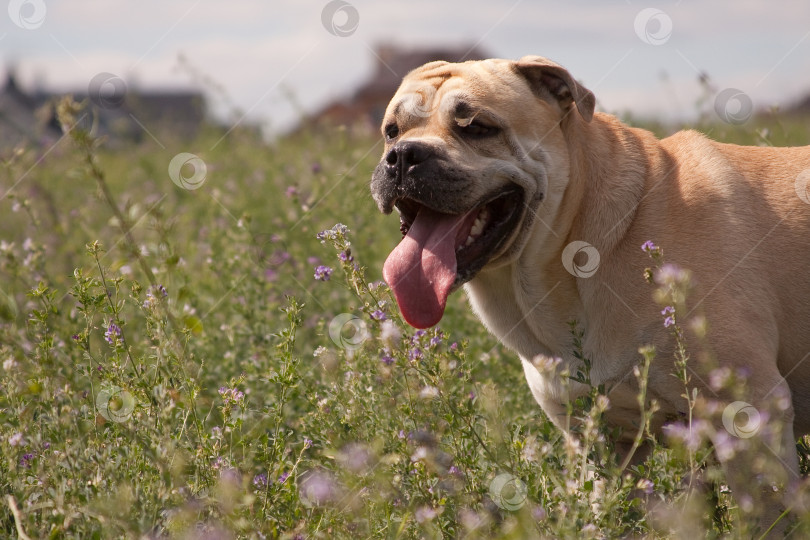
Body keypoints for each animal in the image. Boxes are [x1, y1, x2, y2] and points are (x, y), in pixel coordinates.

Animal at [370, 56, 808, 532]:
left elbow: (766, 518)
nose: (403, 156)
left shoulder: (750, 414)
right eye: (392, 130)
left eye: (477, 127)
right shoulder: (601, 440)